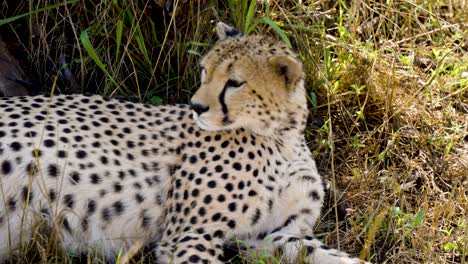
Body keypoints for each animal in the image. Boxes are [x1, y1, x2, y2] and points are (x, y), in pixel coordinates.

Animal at [0, 21, 372, 262]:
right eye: (205, 71)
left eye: (234, 82)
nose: (196, 106)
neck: (280, 136)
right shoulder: (189, 235)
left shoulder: (272, 235)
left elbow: (327, 254)